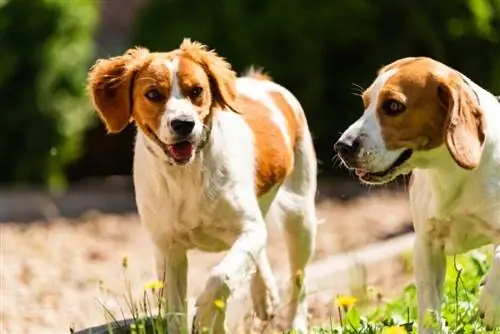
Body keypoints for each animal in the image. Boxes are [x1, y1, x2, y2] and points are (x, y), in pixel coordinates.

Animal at [88, 39, 318, 334]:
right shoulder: (168, 249)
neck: (186, 176)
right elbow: (175, 313)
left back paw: (296, 323)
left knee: (299, 279)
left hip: (300, 216)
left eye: (196, 91)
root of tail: (263, 82)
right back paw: (264, 295)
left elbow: (221, 276)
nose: (184, 124)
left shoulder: (249, 229)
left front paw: (207, 315)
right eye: (153, 94)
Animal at [334, 56, 498, 332]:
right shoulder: (425, 244)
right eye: (365, 104)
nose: (342, 146)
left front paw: (491, 302)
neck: (448, 171)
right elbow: (429, 308)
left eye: (393, 106)